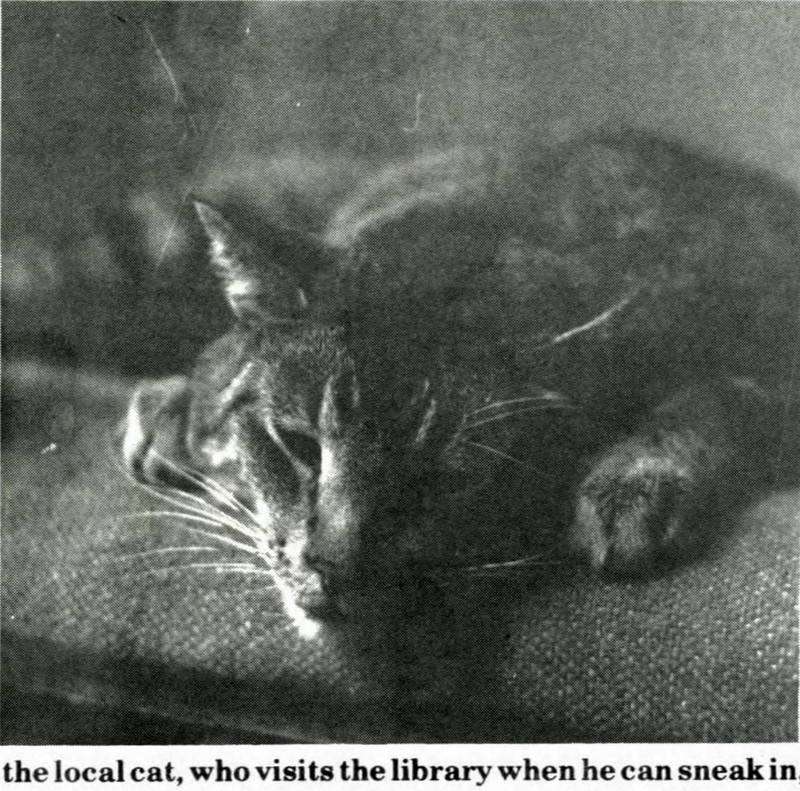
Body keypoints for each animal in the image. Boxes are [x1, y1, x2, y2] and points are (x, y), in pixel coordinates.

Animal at [121, 131, 799, 623]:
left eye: (445, 478)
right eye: (297, 445)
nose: (332, 568)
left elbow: (723, 393)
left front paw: (636, 478)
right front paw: (180, 404)